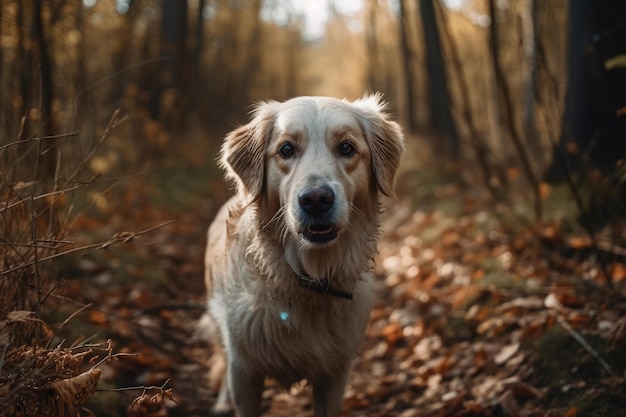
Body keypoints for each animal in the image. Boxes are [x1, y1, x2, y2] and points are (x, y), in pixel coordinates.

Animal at [202, 95, 402, 416]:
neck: (307, 277)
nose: (316, 199)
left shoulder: (335, 371)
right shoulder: (245, 369)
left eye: (347, 147)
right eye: (286, 149)